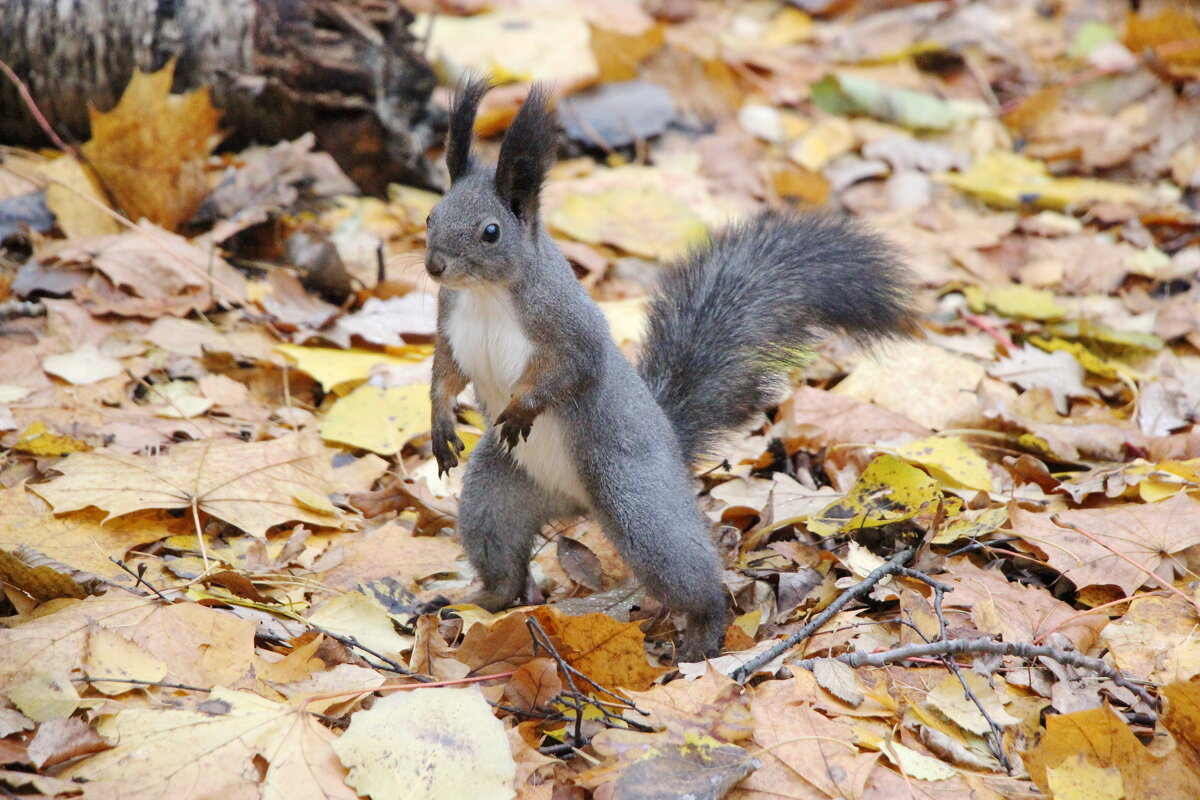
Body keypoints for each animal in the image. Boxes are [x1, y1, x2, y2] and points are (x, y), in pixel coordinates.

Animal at [417, 77, 912, 662]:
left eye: (490, 232)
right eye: (431, 215)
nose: (435, 266)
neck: (488, 295)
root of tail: (577, 499)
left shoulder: (570, 329)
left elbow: (571, 371)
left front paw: (521, 408)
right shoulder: (450, 322)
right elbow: (445, 374)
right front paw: (440, 420)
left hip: (637, 500)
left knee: (692, 574)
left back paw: (701, 638)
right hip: (497, 494)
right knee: (503, 567)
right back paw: (472, 601)